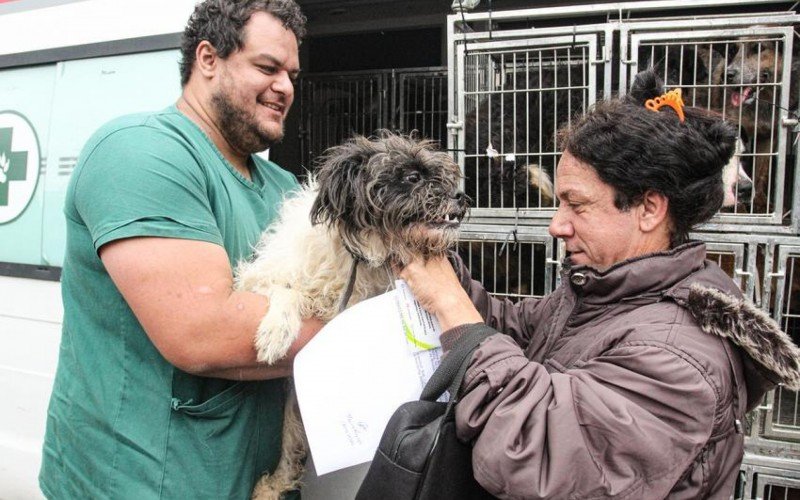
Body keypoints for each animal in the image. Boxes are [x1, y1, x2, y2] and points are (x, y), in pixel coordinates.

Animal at [234, 131, 466, 498]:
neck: (362, 256)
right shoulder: (257, 279)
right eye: (412, 177)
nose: (460, 196)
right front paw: (275, 333)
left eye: (441, 176)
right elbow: (287, 290)